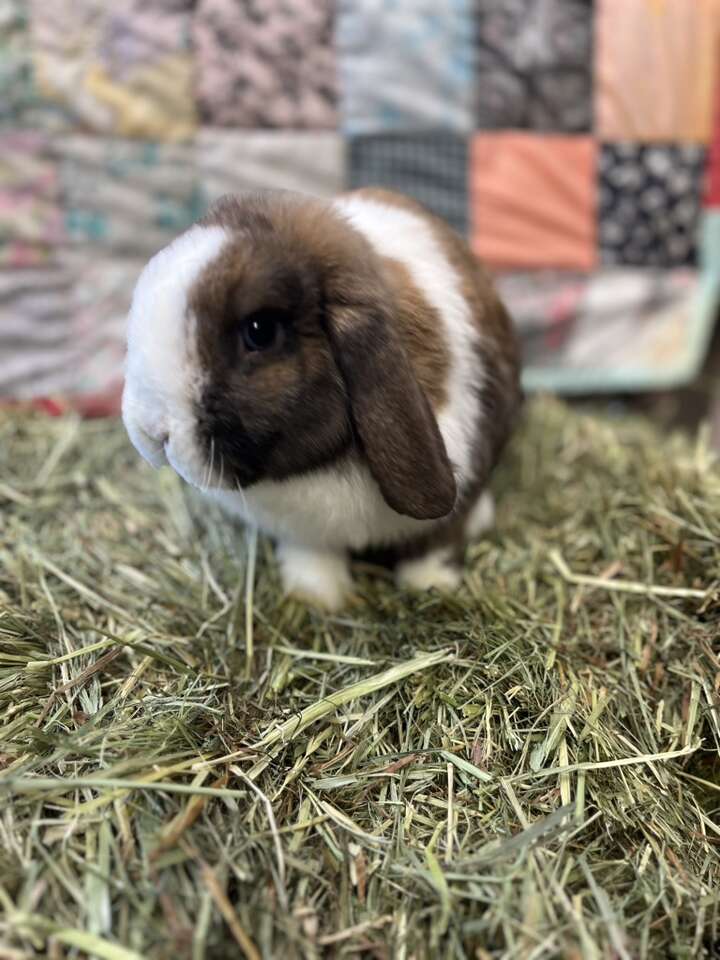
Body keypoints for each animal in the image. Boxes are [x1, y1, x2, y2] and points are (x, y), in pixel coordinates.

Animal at [121, 185, 520, 612]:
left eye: (260, 331)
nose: (151, 430)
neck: (322, 465)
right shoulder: (304, 531)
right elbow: (313, 555)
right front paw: (314, 597)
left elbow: (435, 543)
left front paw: (430, 586)